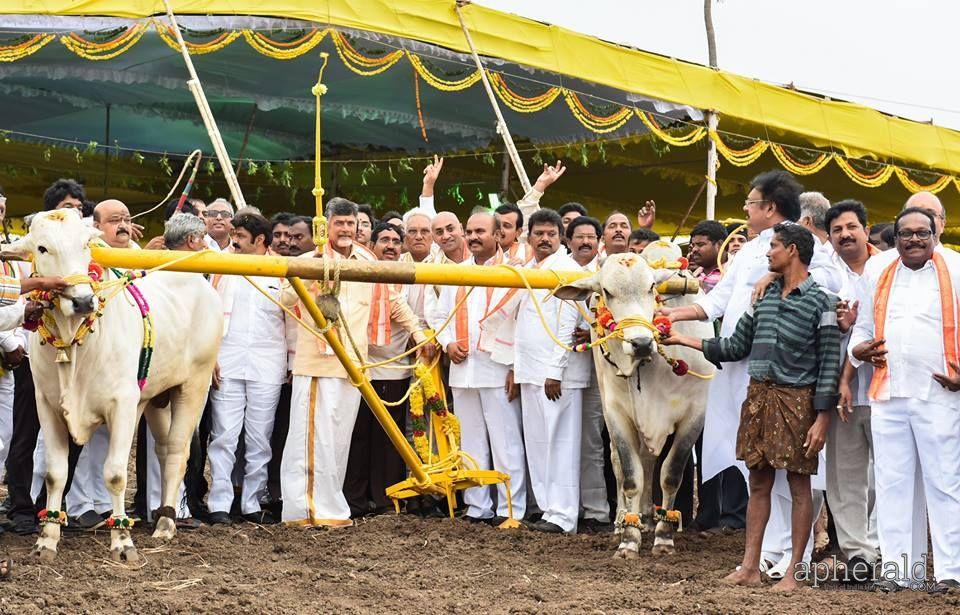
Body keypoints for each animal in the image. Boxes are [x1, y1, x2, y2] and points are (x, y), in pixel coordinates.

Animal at [7, 211, 221, 564]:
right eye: (42, 248)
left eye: (86, 245)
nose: (83, 301)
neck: (73, 342)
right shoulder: (47, 405)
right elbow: (55, 473)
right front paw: (47, 539)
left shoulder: (122, 404)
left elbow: (116, 474)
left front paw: (122, 541)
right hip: (155, 398)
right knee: (164, 451)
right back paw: (163, 513)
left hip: (194, 386)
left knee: (178, 452)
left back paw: (166, 524)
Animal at [556, 245, 712, 560]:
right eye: (606, 291)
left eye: (651, 287)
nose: (641, 343)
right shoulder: (617, 414)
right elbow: (630, 476)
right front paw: (629, 540)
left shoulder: (695, 415)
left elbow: (671, 474)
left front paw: (664, 537)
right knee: (620, 464)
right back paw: (623, 522)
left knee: (650, 461)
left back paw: (649, 518)